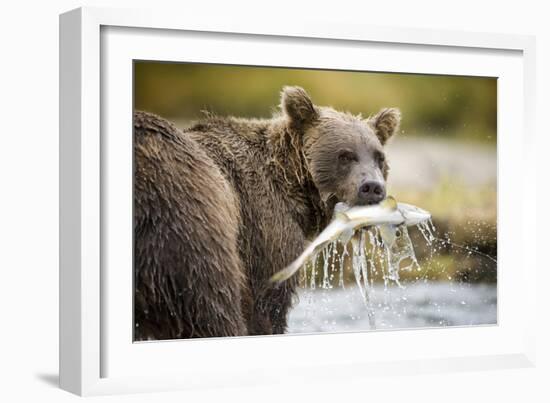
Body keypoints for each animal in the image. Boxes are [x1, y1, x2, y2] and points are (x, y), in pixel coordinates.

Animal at [134, 87, 402, 340]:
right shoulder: (264, 230)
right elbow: (267, 305)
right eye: (345, 155)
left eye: (379, 158)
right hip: (186, 220)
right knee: (209, 308)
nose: (372, 188)